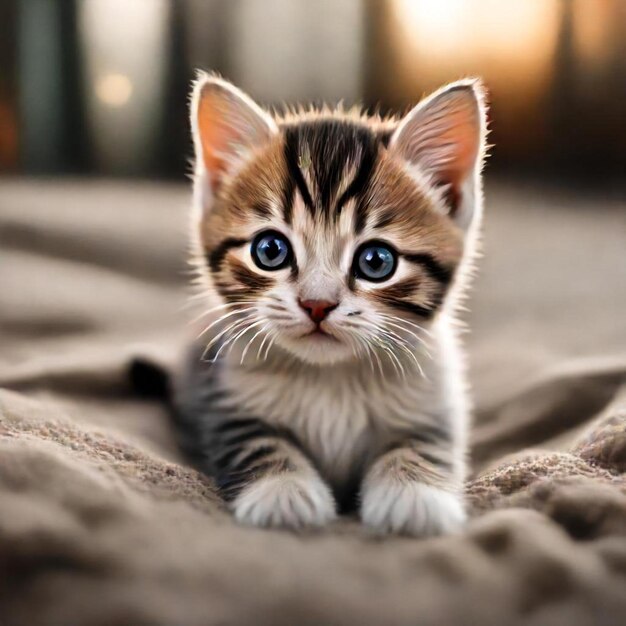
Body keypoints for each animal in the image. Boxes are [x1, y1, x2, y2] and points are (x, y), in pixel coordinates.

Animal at [172, 70, 488, 532]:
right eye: (270, 251)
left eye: (376, 261)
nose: (317, 304)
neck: (332, 380)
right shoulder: (224, 399)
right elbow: (255, 440)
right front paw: (284, 493)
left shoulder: (438, 402)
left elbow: (424, 444)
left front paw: (414, 496)